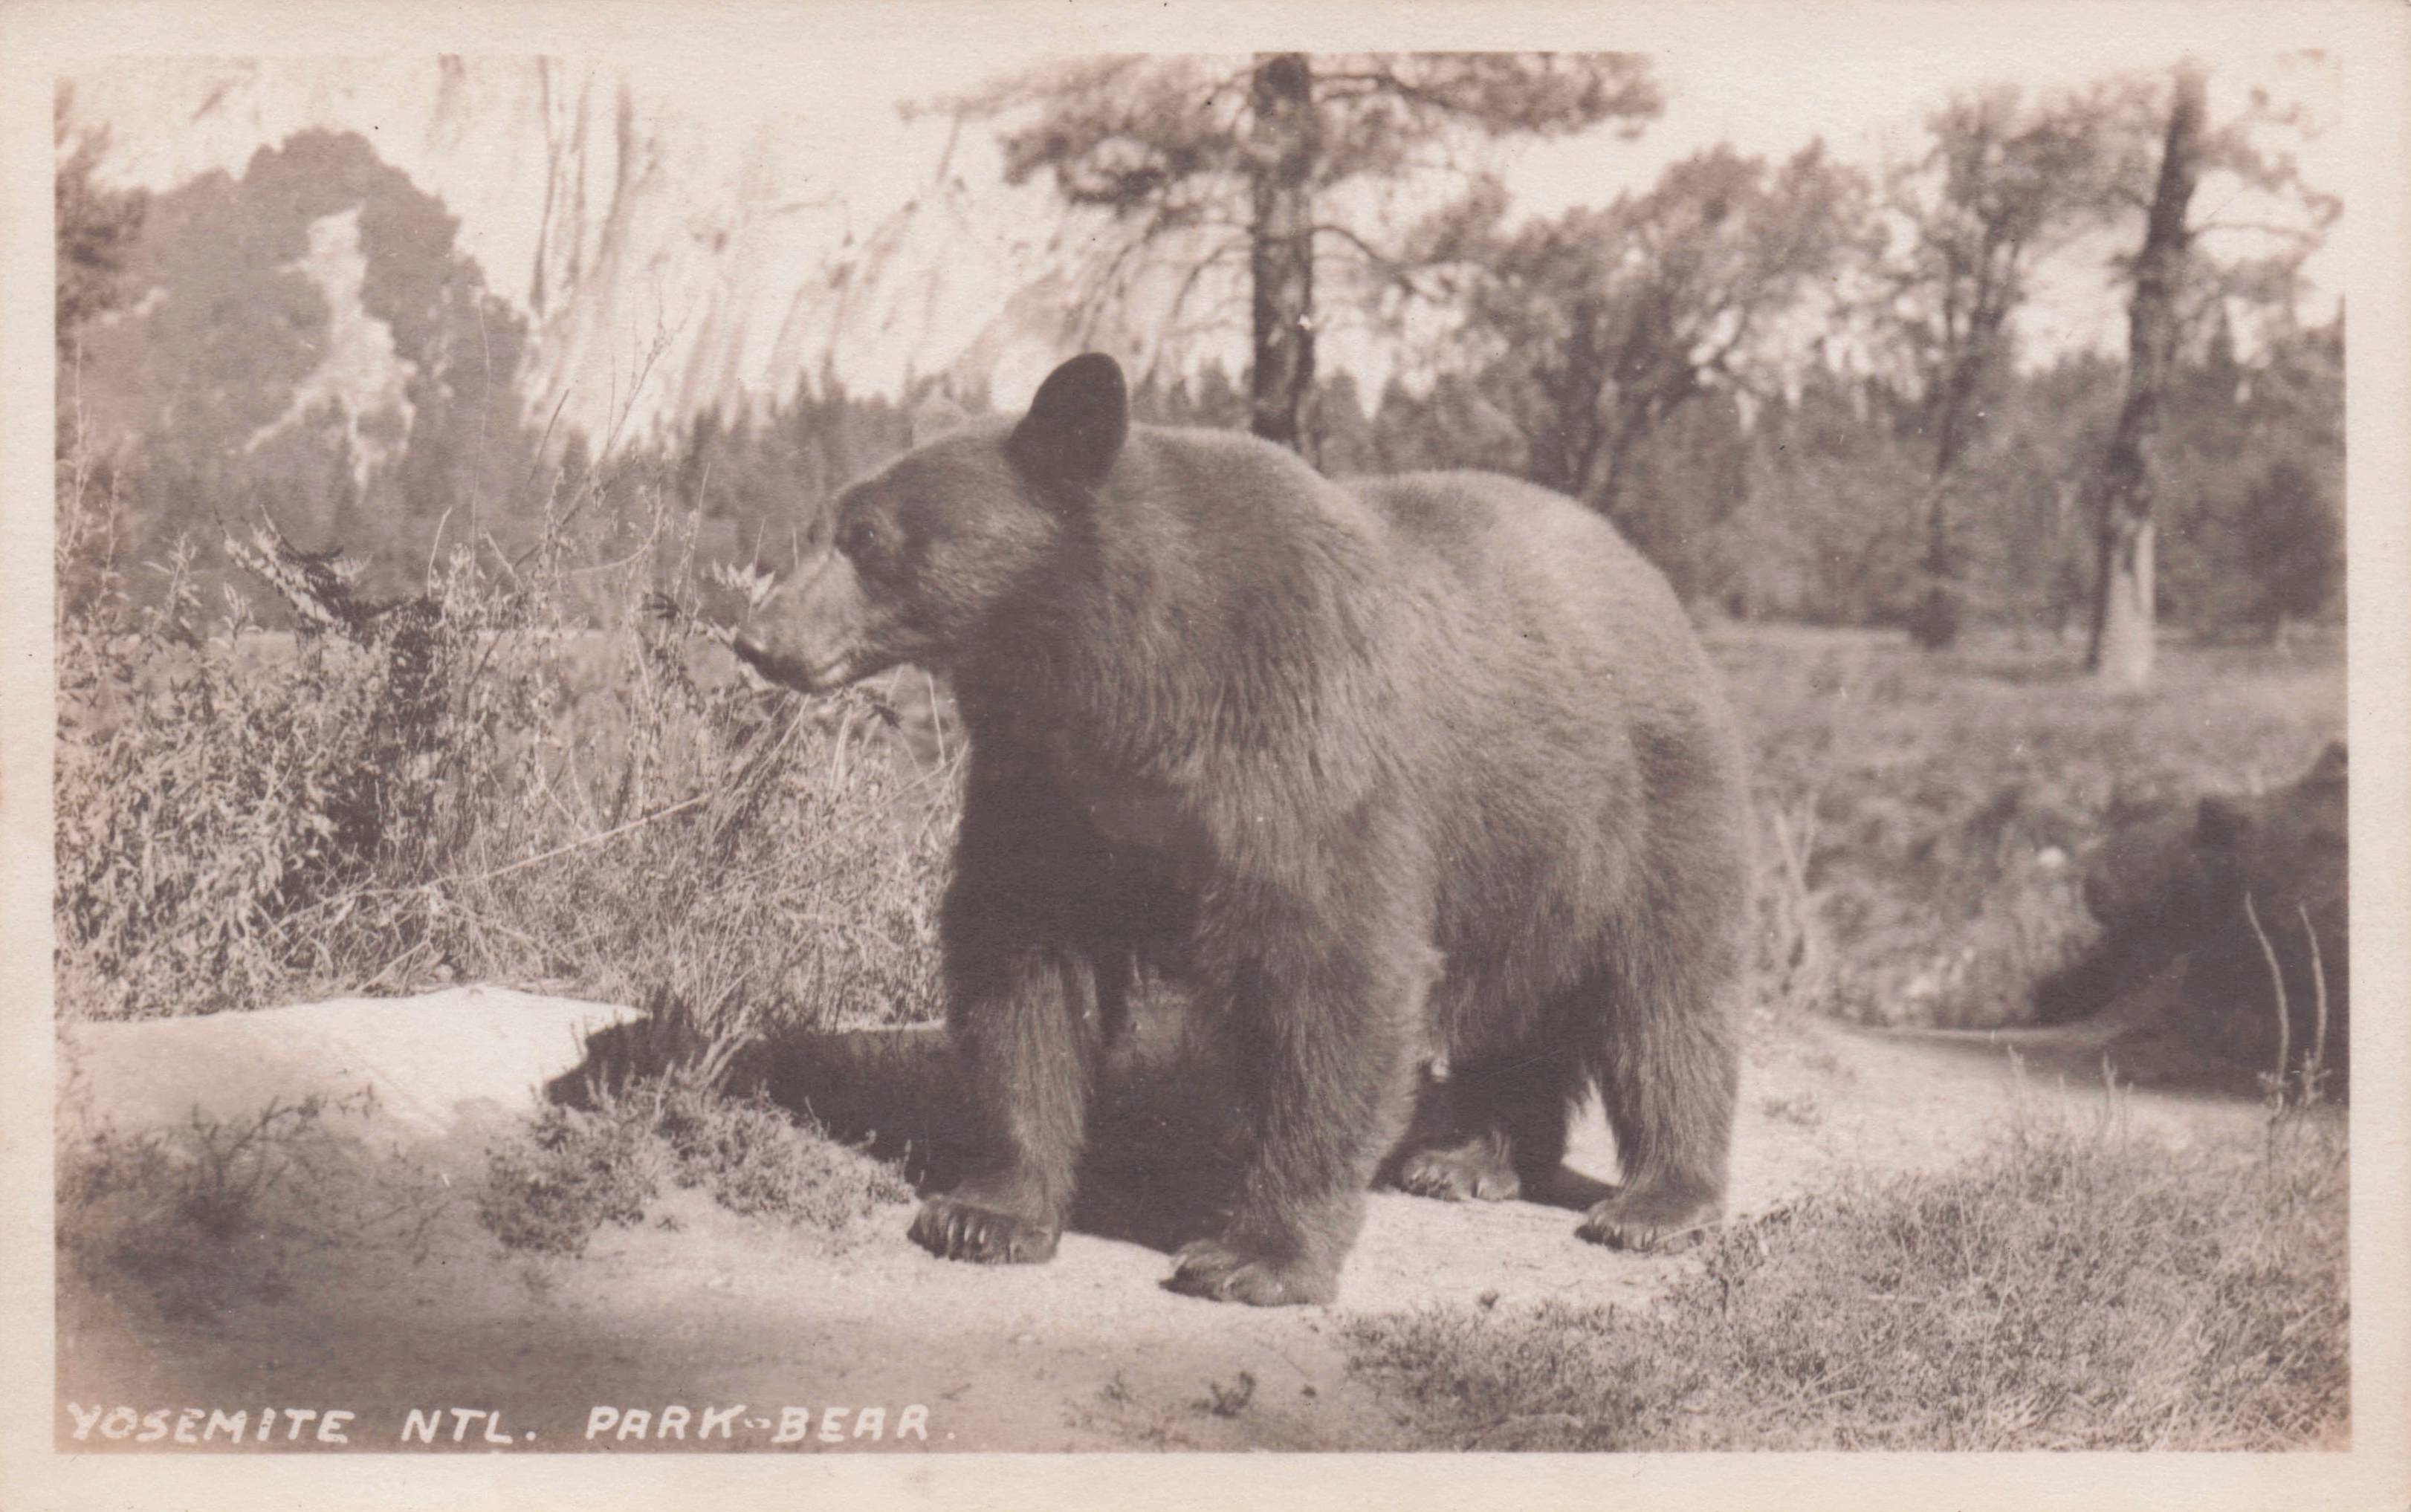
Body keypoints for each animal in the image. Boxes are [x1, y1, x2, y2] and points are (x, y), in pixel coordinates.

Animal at [733, 353, 1752, 1305]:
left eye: (867, 540)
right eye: (823, 524)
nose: (756, 636)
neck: (1126, 679)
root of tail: (1649, 574)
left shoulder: (1299, 741)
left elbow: (1326, 970)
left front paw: (1255, 1254)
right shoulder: (1050, 784)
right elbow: (1021, 966)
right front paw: (986, 1211)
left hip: (1646, 803)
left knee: (1666, 998)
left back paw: (1656, 1200)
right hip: (1523, 847)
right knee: (1522, 1000)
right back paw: (1469, 1156)